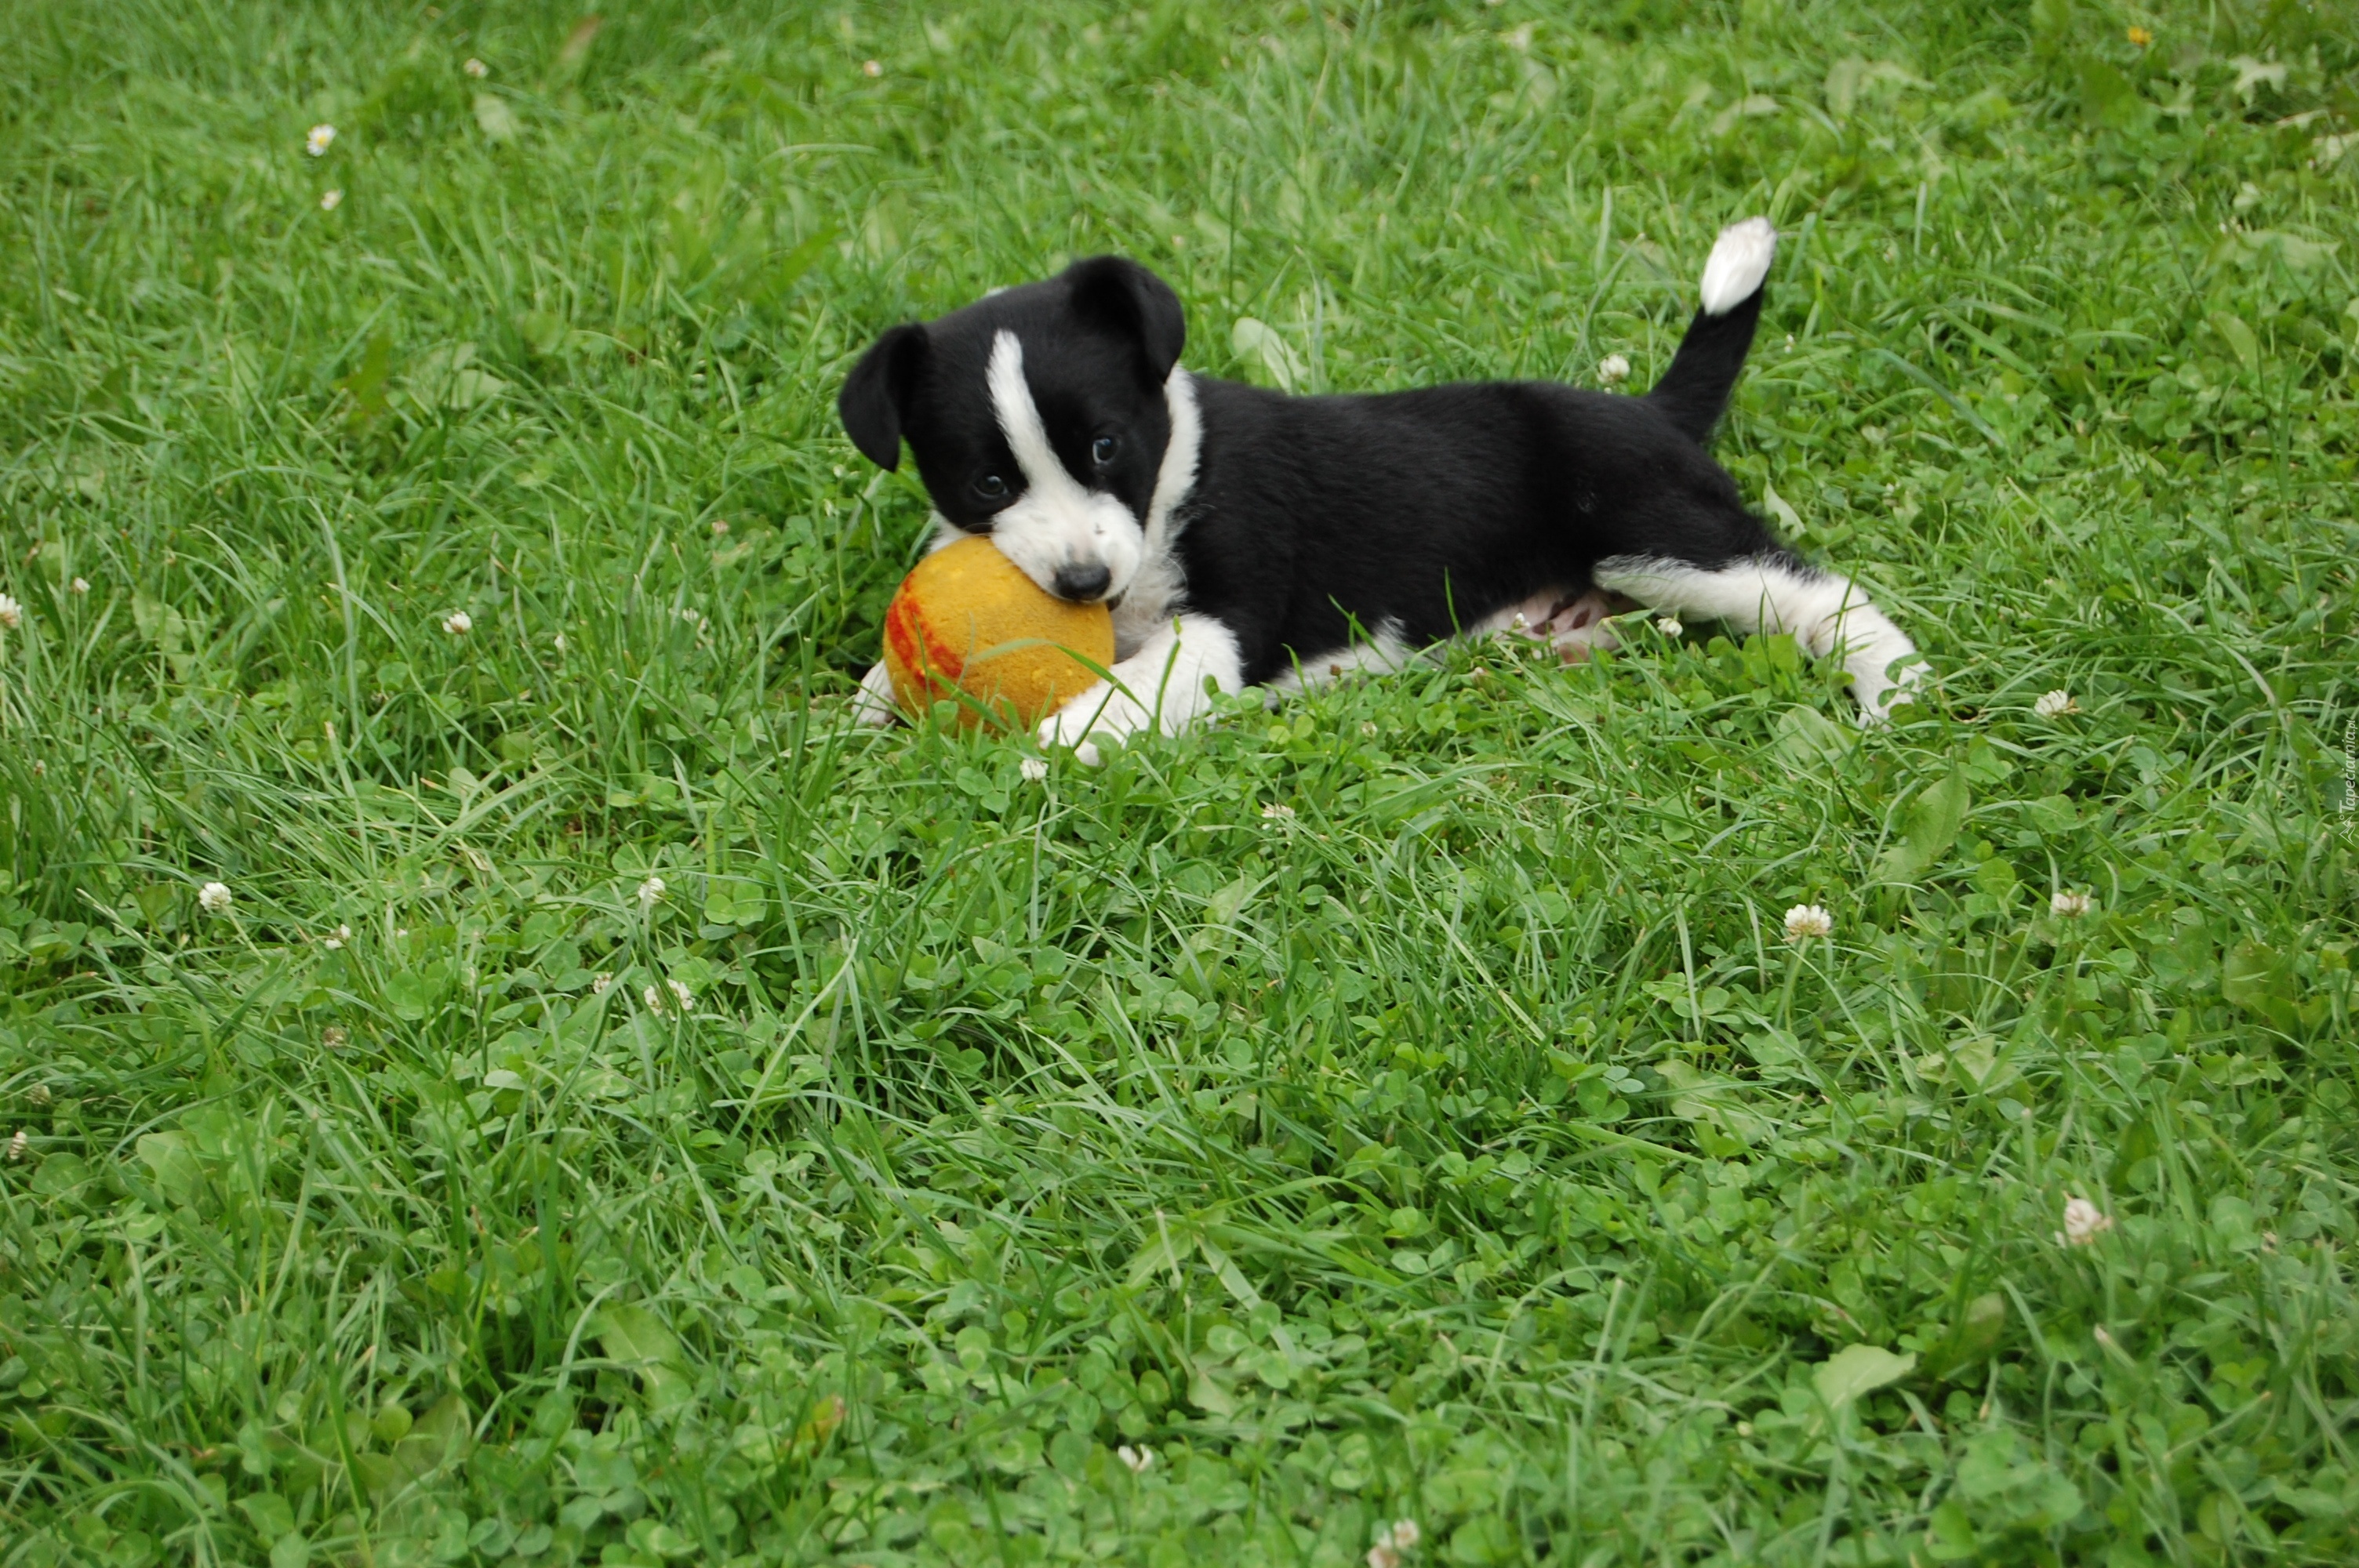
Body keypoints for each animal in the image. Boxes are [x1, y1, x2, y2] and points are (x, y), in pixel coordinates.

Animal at [839, 220, 1925, 759]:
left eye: (1106, 445)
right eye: (988, 480)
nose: (1078, 585)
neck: (1169, 477)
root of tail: (1649, 410)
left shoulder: (1222, 625)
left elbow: (1129, 689)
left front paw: (1053, 743)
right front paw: (869, 707)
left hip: (1652, 530)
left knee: (1820, 593)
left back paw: (1893, 692)